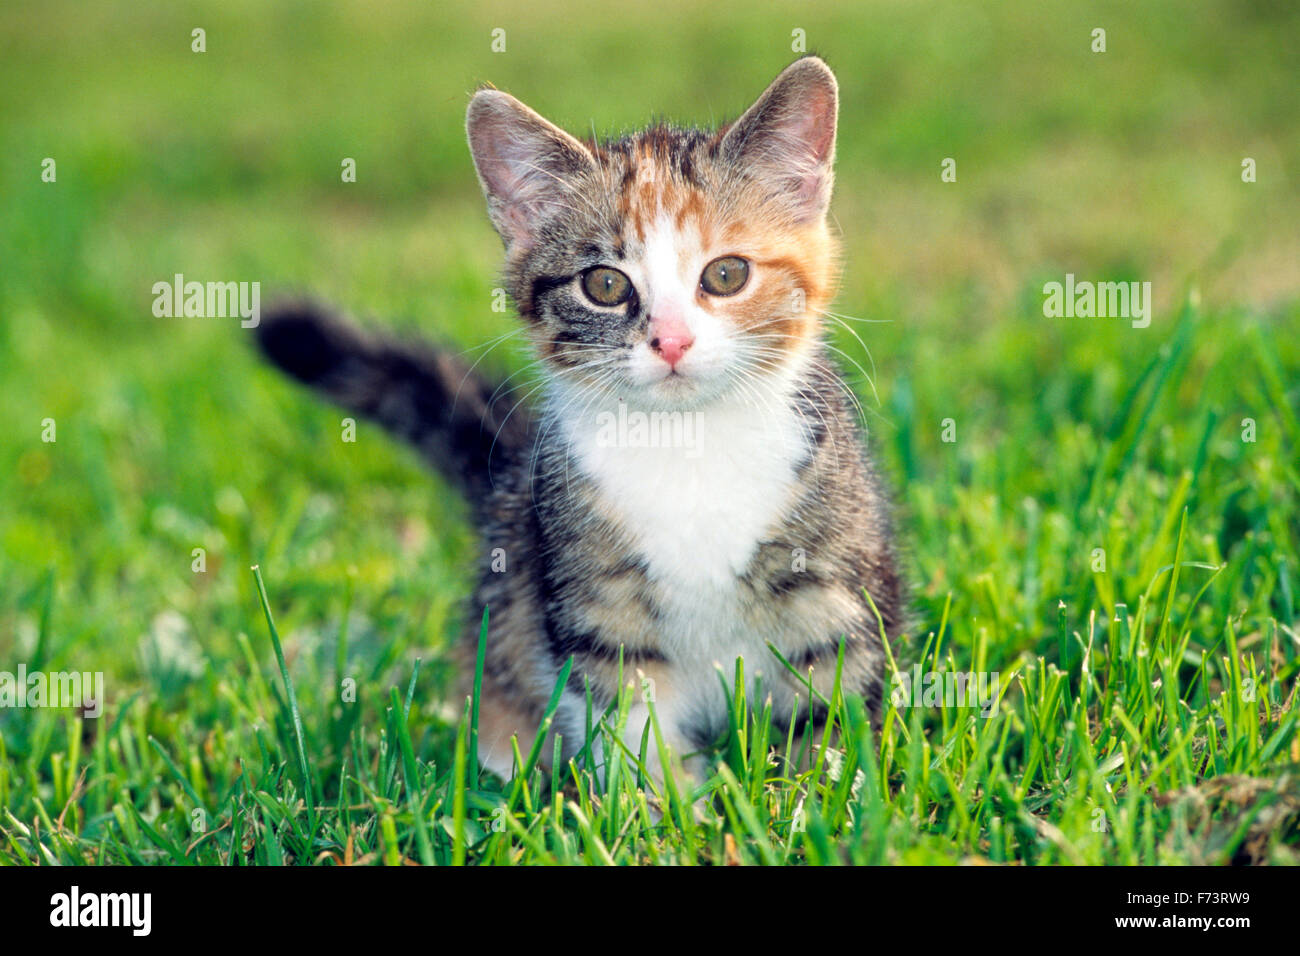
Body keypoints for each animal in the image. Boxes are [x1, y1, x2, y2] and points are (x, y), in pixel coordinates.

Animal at [253, 55, 904, 780]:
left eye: (727, 274)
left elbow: (830, 711)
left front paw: (827, 793)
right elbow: (629, 722)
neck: (688, 444)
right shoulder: (591, 596)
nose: (672, 340)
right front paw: (662, 803)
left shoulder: (833, 583)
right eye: (606, 285)